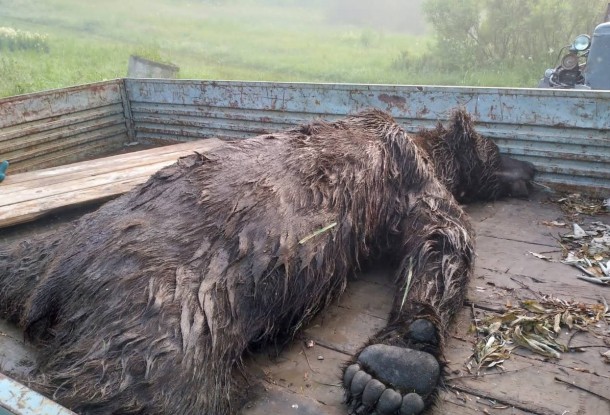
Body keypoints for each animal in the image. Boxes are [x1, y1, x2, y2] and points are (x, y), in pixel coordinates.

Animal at [0, 109, 532, 414]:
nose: (531, 167)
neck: (423, 146)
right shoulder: (410, 175)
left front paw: (394, 367)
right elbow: (444, 235)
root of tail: (50, 284)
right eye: (495, 149)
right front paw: (400, 363)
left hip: (34, 254)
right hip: (160, 330)